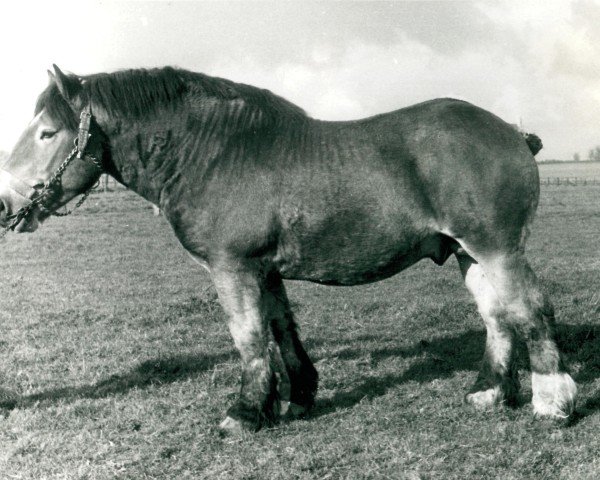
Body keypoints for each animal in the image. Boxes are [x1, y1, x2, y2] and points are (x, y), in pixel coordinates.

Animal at [0, 64, 576, 432]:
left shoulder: (232, 269)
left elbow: (249, 338)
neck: (213, 153)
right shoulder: (264, 271)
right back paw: (490, 392)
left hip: (497, 249)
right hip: (467, 253)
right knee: (497, 317)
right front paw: (297, 398)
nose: (6, 203)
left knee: (530, 311)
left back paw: (553, 400)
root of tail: (513, 134)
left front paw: (244, 413)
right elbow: (280, 331)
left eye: (47, 132)